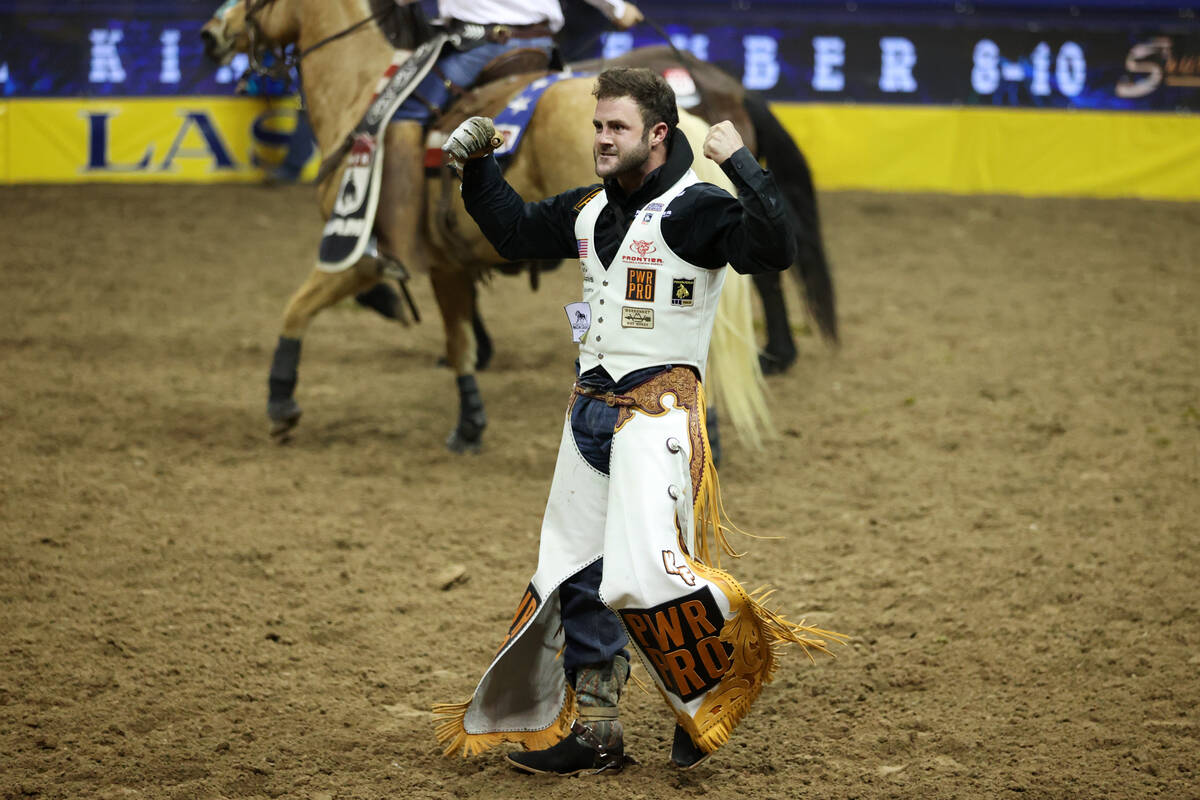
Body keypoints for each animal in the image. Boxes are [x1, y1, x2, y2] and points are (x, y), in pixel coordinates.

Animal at [205, 0, 782, 450]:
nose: (213, 34)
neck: (362, 92)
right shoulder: (449, 263)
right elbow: (459, 339)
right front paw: (471, 416)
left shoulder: (368, 251)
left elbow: (299, 307)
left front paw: (281, 401)